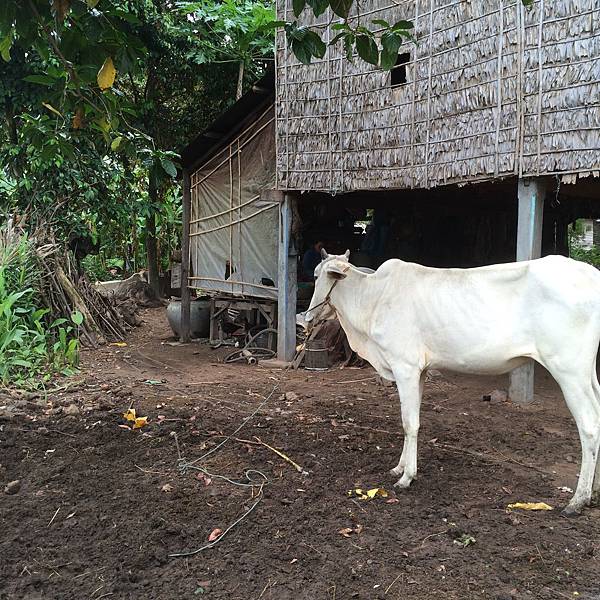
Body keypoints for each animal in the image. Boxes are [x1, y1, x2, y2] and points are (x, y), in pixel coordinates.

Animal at [308, 251, 600, 512]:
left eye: (316, 276)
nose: (307, 317)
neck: (374, 298)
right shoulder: (420, 371)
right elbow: (409, 422)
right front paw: (400, 467)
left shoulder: (405, 367)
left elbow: (409, 423)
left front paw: (407, 477)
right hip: (587, 376)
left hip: (570, 371)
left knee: (589, 427)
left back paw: (577, 500)